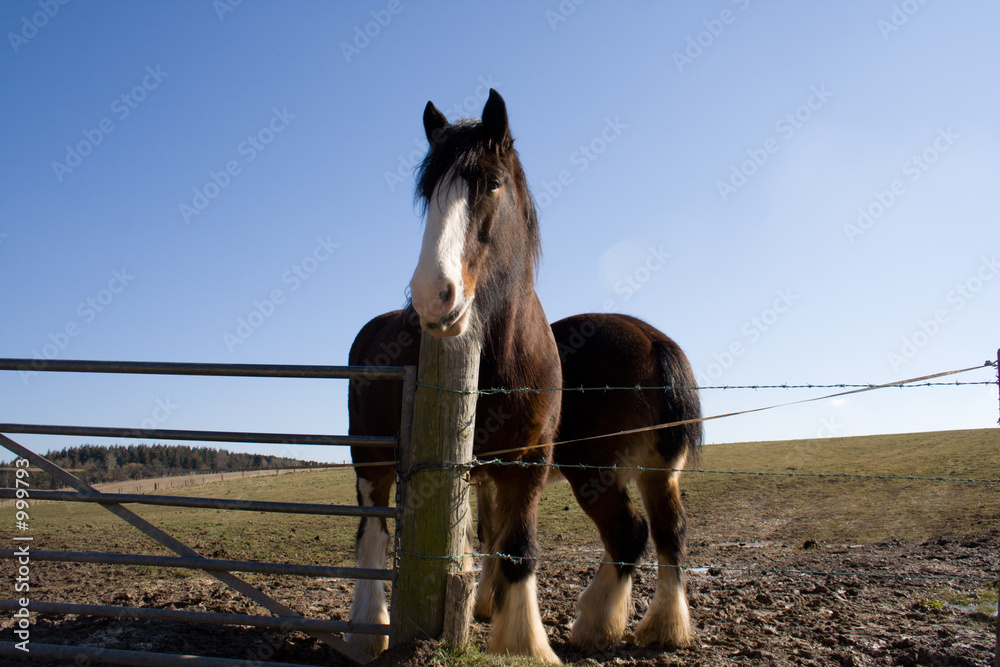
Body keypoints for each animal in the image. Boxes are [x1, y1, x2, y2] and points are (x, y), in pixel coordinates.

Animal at [347, 90, 563, 662]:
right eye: (429, 194)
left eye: (490, 183)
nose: (431, 295)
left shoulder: (529, 463)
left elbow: (515, 547)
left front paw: (522, 642)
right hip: (370, 458)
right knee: (372, 534)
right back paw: (367, 629)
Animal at [544, 313, 702, 651]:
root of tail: (653, 341)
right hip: (658, 475)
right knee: (670, 532)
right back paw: (664, 626)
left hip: (591, 475)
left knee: (627, 532)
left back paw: (594, 623)